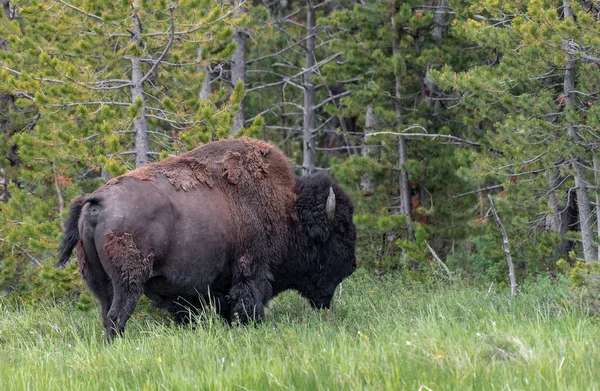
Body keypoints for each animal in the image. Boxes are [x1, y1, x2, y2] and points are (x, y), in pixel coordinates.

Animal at [56, 138, 356, 340]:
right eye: (339, 231)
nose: (352, 265)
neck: (286, 208)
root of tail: (95, 201)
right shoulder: (251, 271)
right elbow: (248, 302)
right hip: (128, 282)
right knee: (116, 317)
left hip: (98, 281)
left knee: (106, 313)